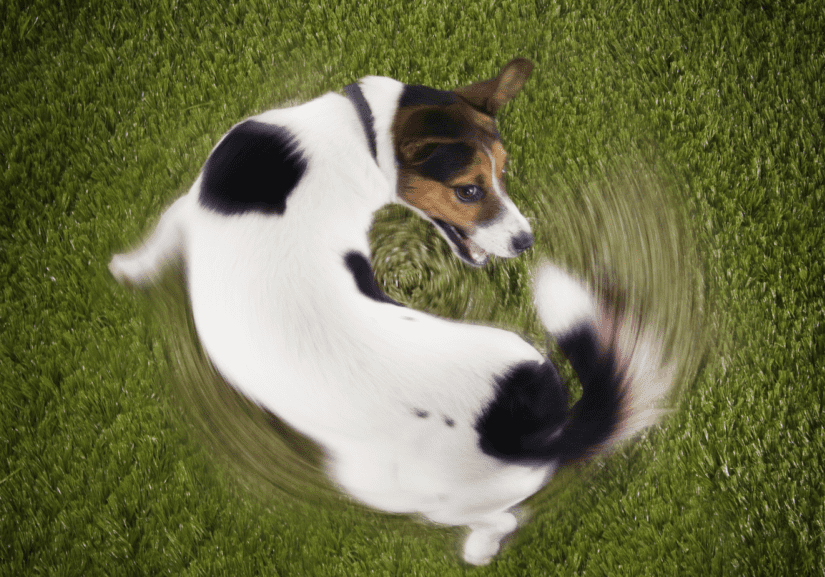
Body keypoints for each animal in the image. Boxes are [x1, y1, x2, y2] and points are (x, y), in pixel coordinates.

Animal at [109, 60, 672, 564]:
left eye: (503, 174)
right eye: (470, 188)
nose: (525, 241)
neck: (358, 134)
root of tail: (536, 431)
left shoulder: (186, 207)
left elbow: (155, 243)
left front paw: (125, 269)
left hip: (399, 489)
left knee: (500, 519)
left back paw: (477, 550)